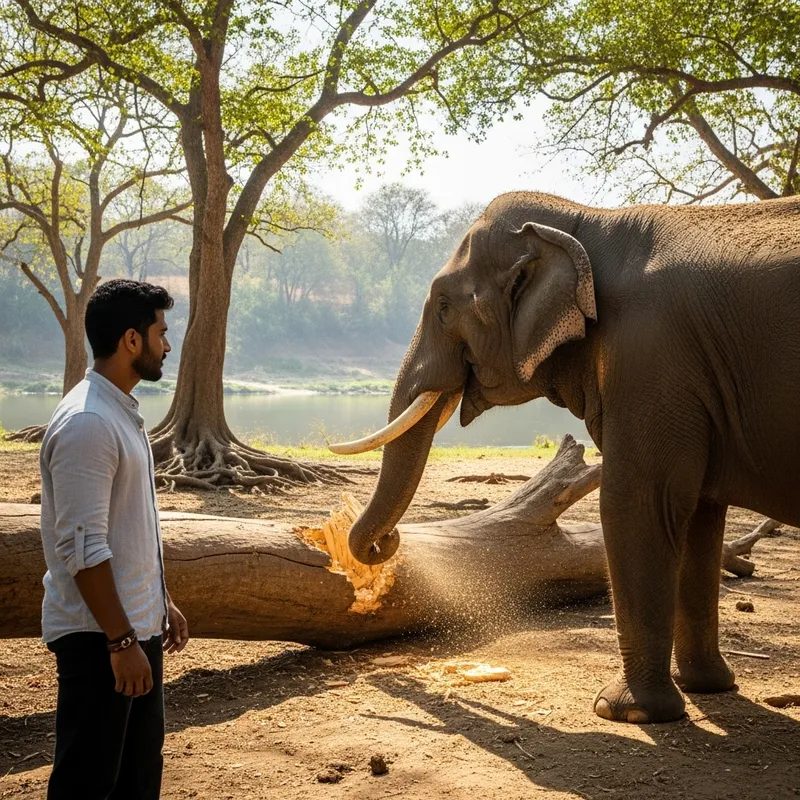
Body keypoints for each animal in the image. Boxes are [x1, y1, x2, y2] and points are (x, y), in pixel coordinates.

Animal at [330, 190, 800, 724]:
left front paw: (624, 711)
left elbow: (636, 504)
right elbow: (699, 515)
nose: (384, 545)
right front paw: (705, 687)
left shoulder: (649, 356)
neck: (588, 222)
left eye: (445, 307)